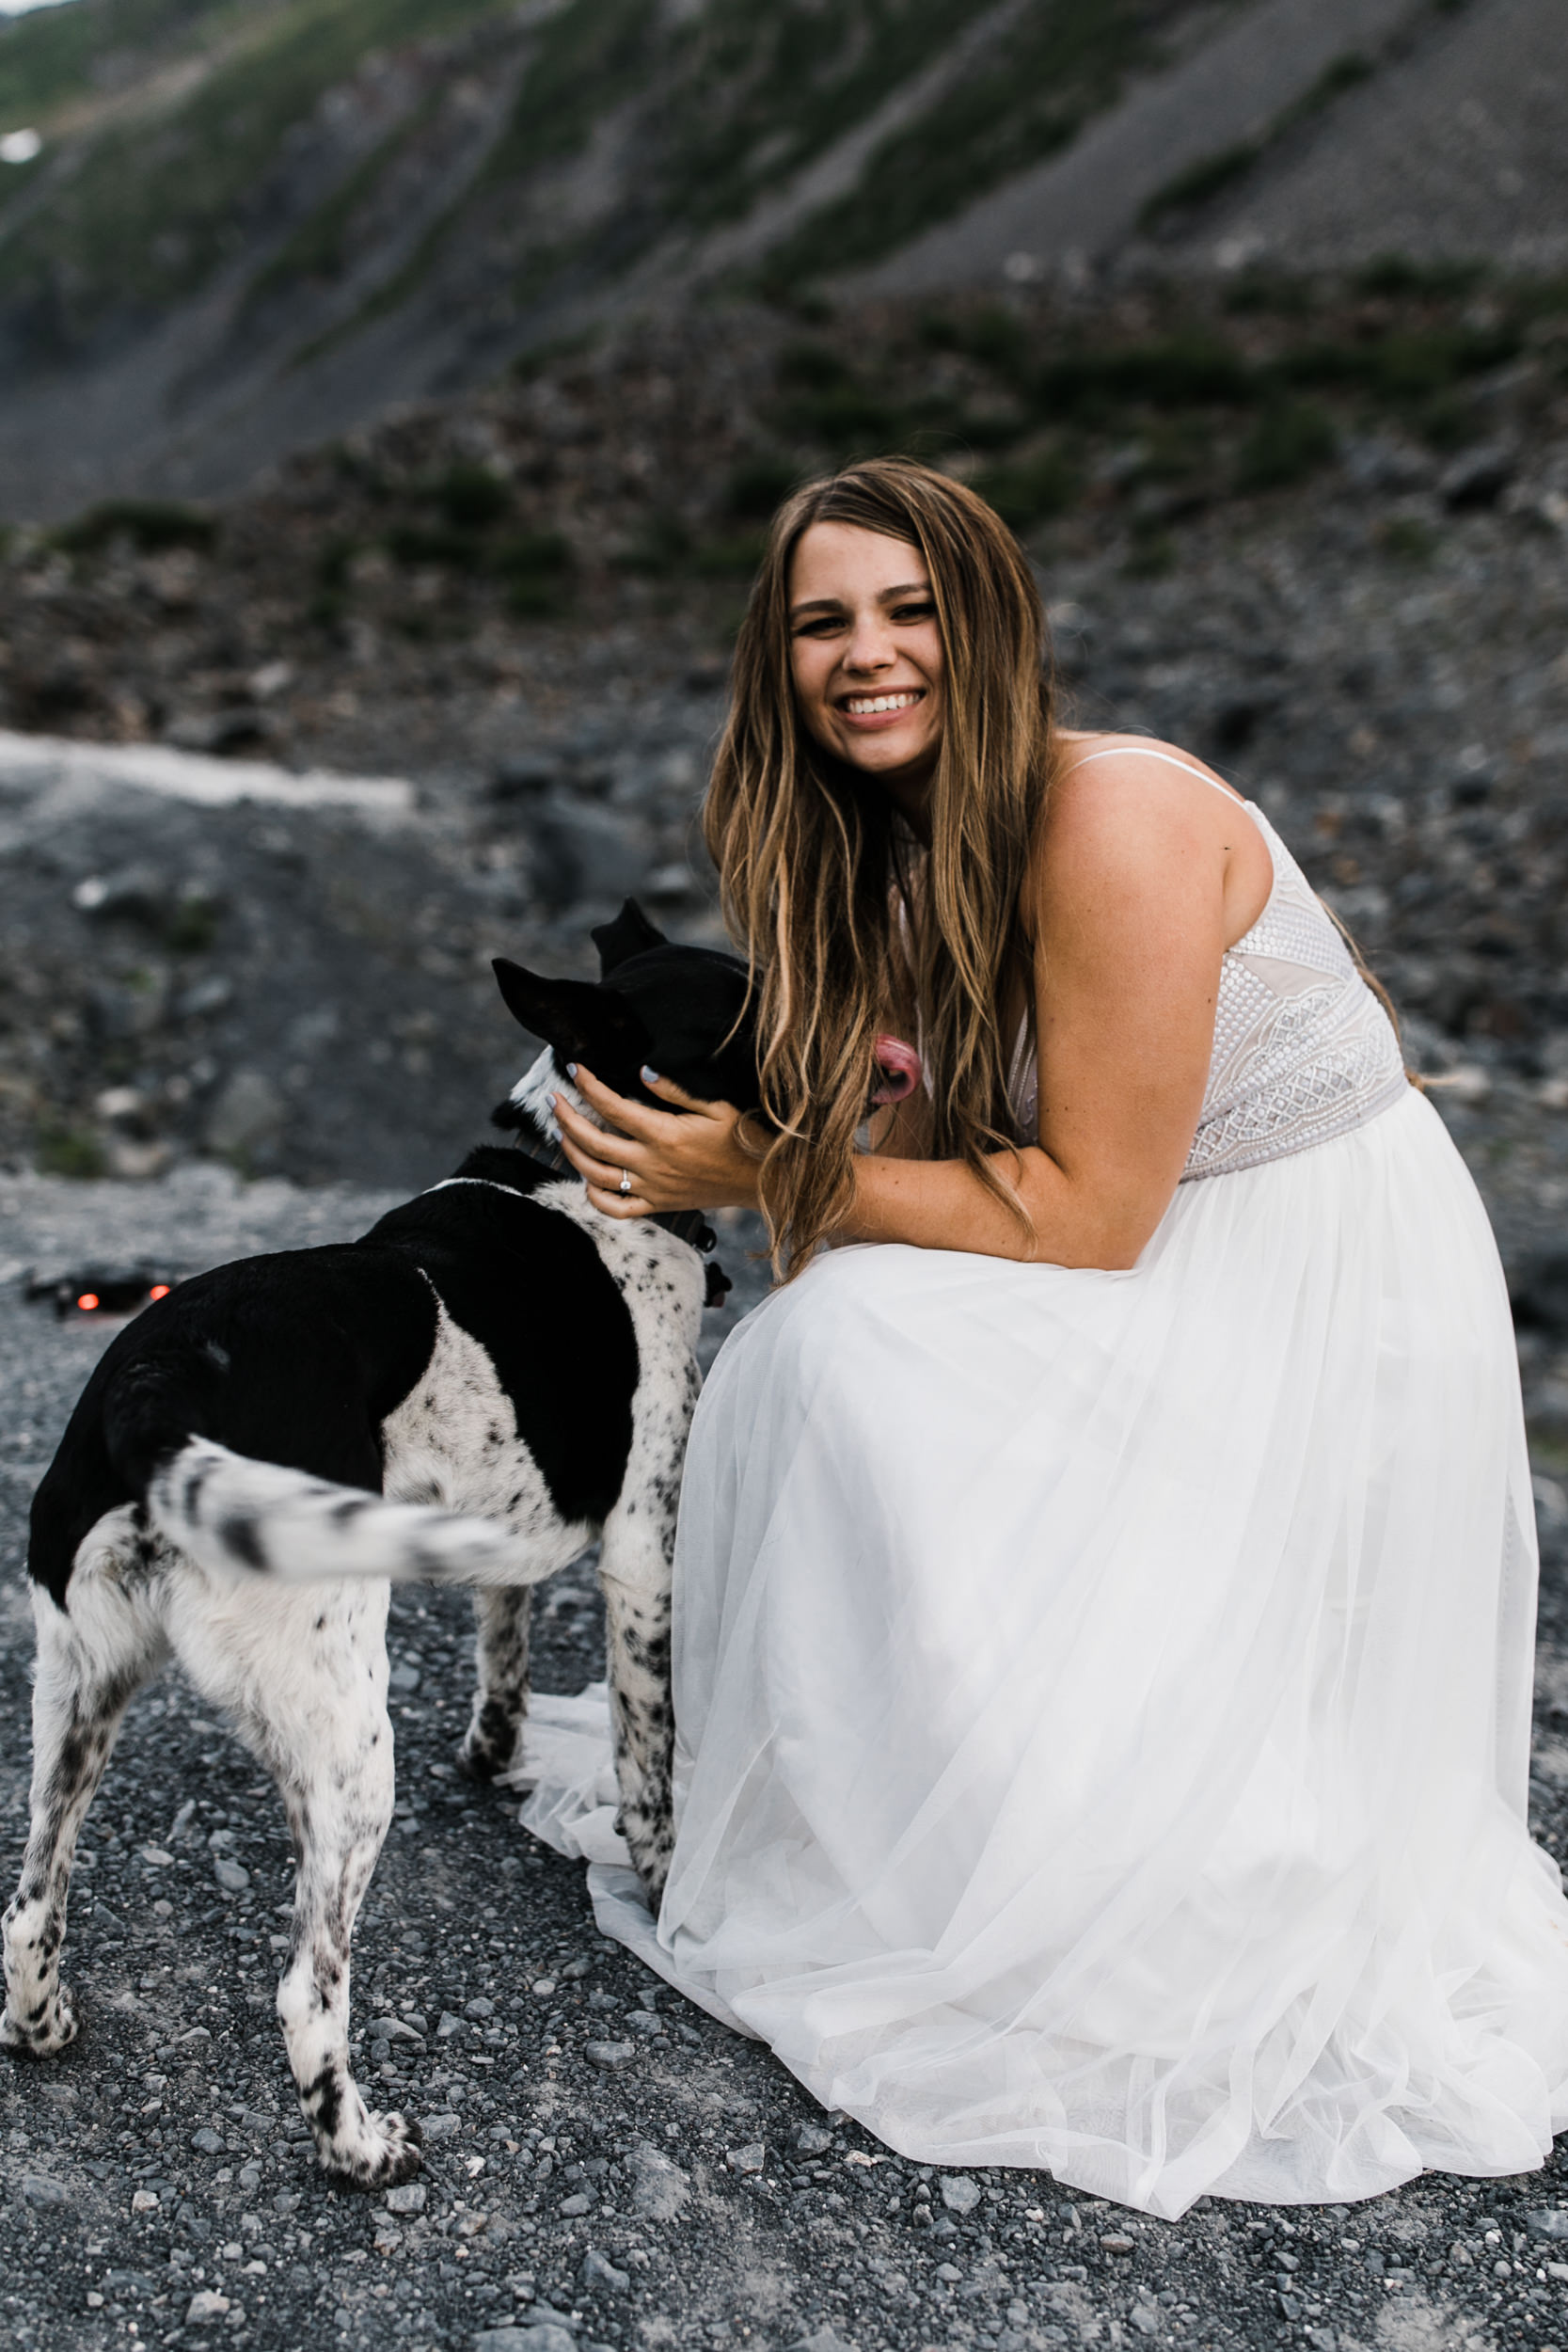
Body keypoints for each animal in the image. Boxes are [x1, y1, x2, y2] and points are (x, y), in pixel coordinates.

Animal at [0, 908, 761, 2192]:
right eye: (754, 1012)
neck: (576, 1176)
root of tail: (156, 1385)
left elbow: (502, 1643)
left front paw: (497, 1750)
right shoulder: (640, 1557)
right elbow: (647, 1767)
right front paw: (662, 1899)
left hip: (81, 1687)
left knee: (26, 1903)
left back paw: (41, 2025)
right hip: (350, 1747)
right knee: (307, 1990)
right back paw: (359, 2147)